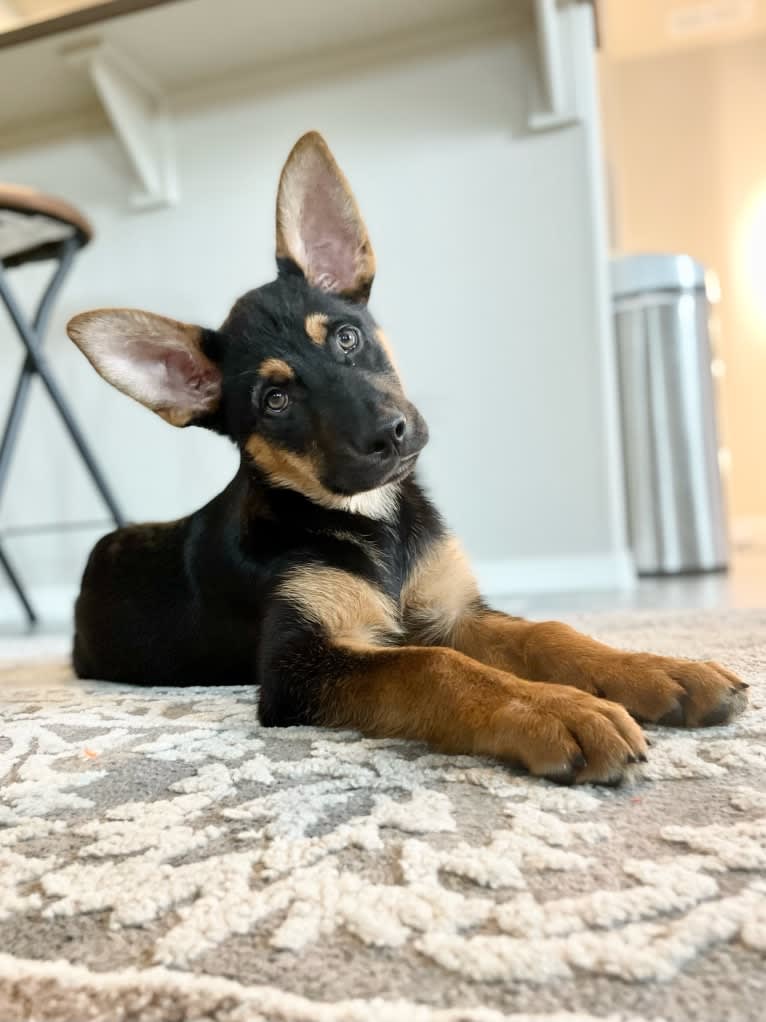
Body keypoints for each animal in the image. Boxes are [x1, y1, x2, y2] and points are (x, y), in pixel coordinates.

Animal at [67, 131, 751, 784]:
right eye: (275, 400)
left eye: (347, 337)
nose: (388, 436)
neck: (372, 519)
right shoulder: (298, 664)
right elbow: (432, 666)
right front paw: (559, 710)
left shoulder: (450, 612)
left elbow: (546, 632)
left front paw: (657, 670)